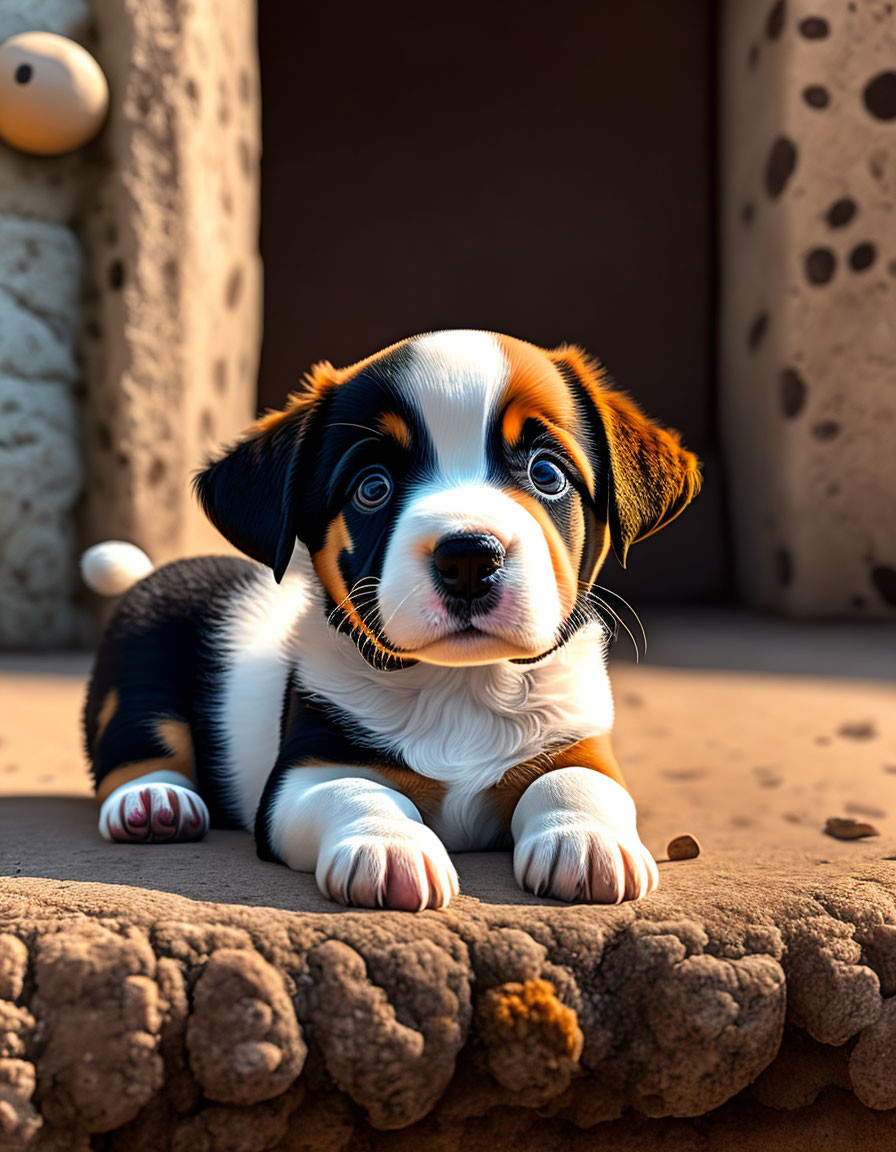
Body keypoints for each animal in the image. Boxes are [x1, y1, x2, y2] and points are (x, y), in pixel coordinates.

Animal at [81, 331, 700, 907]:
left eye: (546, 473)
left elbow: (578, 783)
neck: (461, 686)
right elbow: (359, 791)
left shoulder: (580, 741)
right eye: (372, 487)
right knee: (138, 743)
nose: (469, 557)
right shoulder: (307, 770)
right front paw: (388, 846)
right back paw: (153, 801)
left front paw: (586, 839)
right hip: (139, 673)